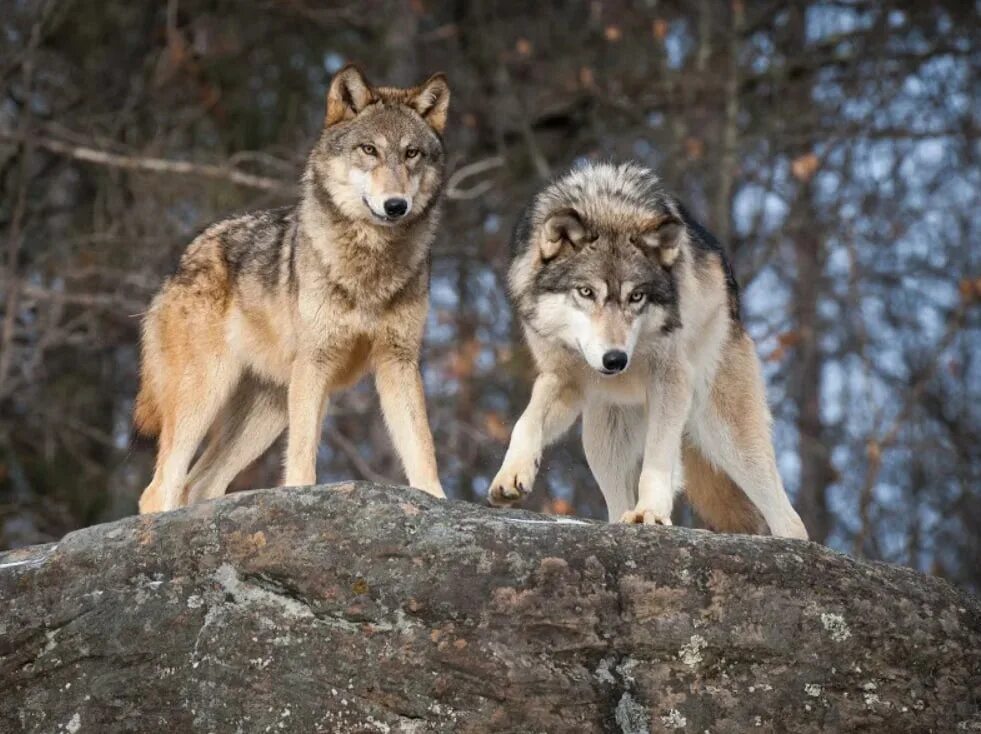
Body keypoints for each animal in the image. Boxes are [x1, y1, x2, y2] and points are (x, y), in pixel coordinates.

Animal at [134, 64, 448, 516]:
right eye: (369, 149)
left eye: (412, 154)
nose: (395, 205)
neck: (368, 265)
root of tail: (180, 264)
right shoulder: (315, 363)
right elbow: (301, 457)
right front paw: (303, 499)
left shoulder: (398, 361)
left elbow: (421, 445)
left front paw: (438, 500)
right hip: (205, 395)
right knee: (160, 488)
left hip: (267, 411)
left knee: (198, 485)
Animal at [486, 162, 808, 540]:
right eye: (586, 292)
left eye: (636, 296)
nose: (615, 360)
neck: (609, 208)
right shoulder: (563, 377)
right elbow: (526, 422)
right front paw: (511, 475)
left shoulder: (671, 380)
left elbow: (657, 457)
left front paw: (651, 512)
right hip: (603, 437)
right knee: (616, 500)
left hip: (726, 432)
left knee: (789, 518)